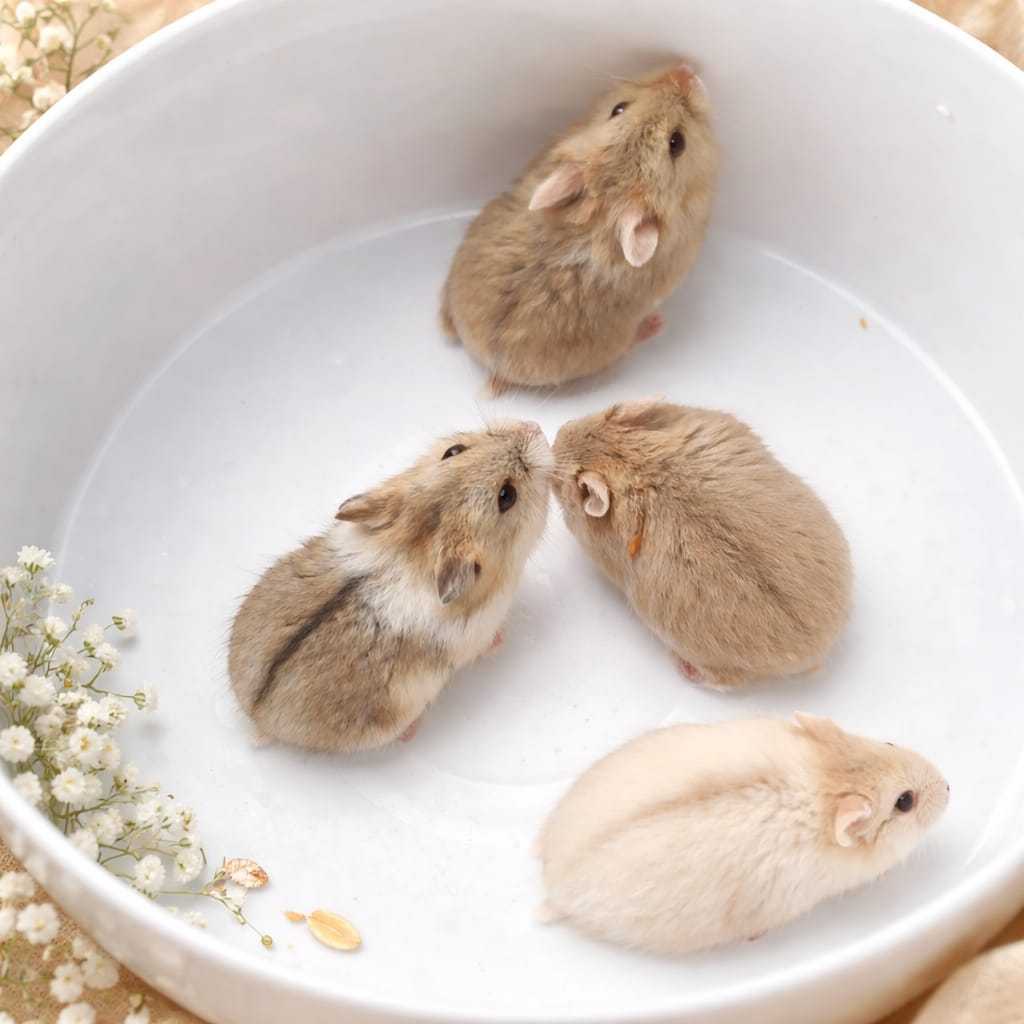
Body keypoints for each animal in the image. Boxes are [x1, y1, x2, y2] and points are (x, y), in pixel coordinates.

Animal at [228, 421, 552, 752]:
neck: (411, 550)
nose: (534, 426)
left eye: (453, 450)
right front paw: (501, 640)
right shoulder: (482, 630)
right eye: (506, 495)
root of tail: (259, 718)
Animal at [552, 400, 852, 687]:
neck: (630, 461)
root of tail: (818, 648)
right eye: (608, 411)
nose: (557, 435)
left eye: (564, 481)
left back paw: (684, 669)